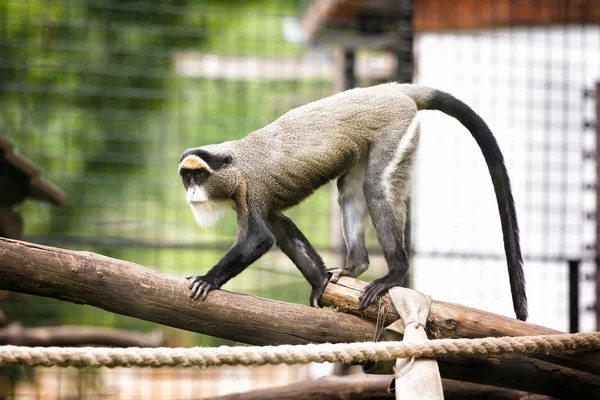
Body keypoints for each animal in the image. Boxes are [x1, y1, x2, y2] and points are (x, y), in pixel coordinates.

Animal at [179, 83, 528, 320]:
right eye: (187, 177)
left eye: (200, 176)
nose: (191, 193)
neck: (236, 164)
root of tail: (393, 90)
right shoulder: (257, 201)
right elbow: (282, 228)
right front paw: (319, 284)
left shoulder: (249, 191)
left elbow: (258, 239)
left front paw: (207, 280)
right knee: (349, 188)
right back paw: (356, 265)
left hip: (396, 131)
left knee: (376, 188)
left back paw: (394, 274)